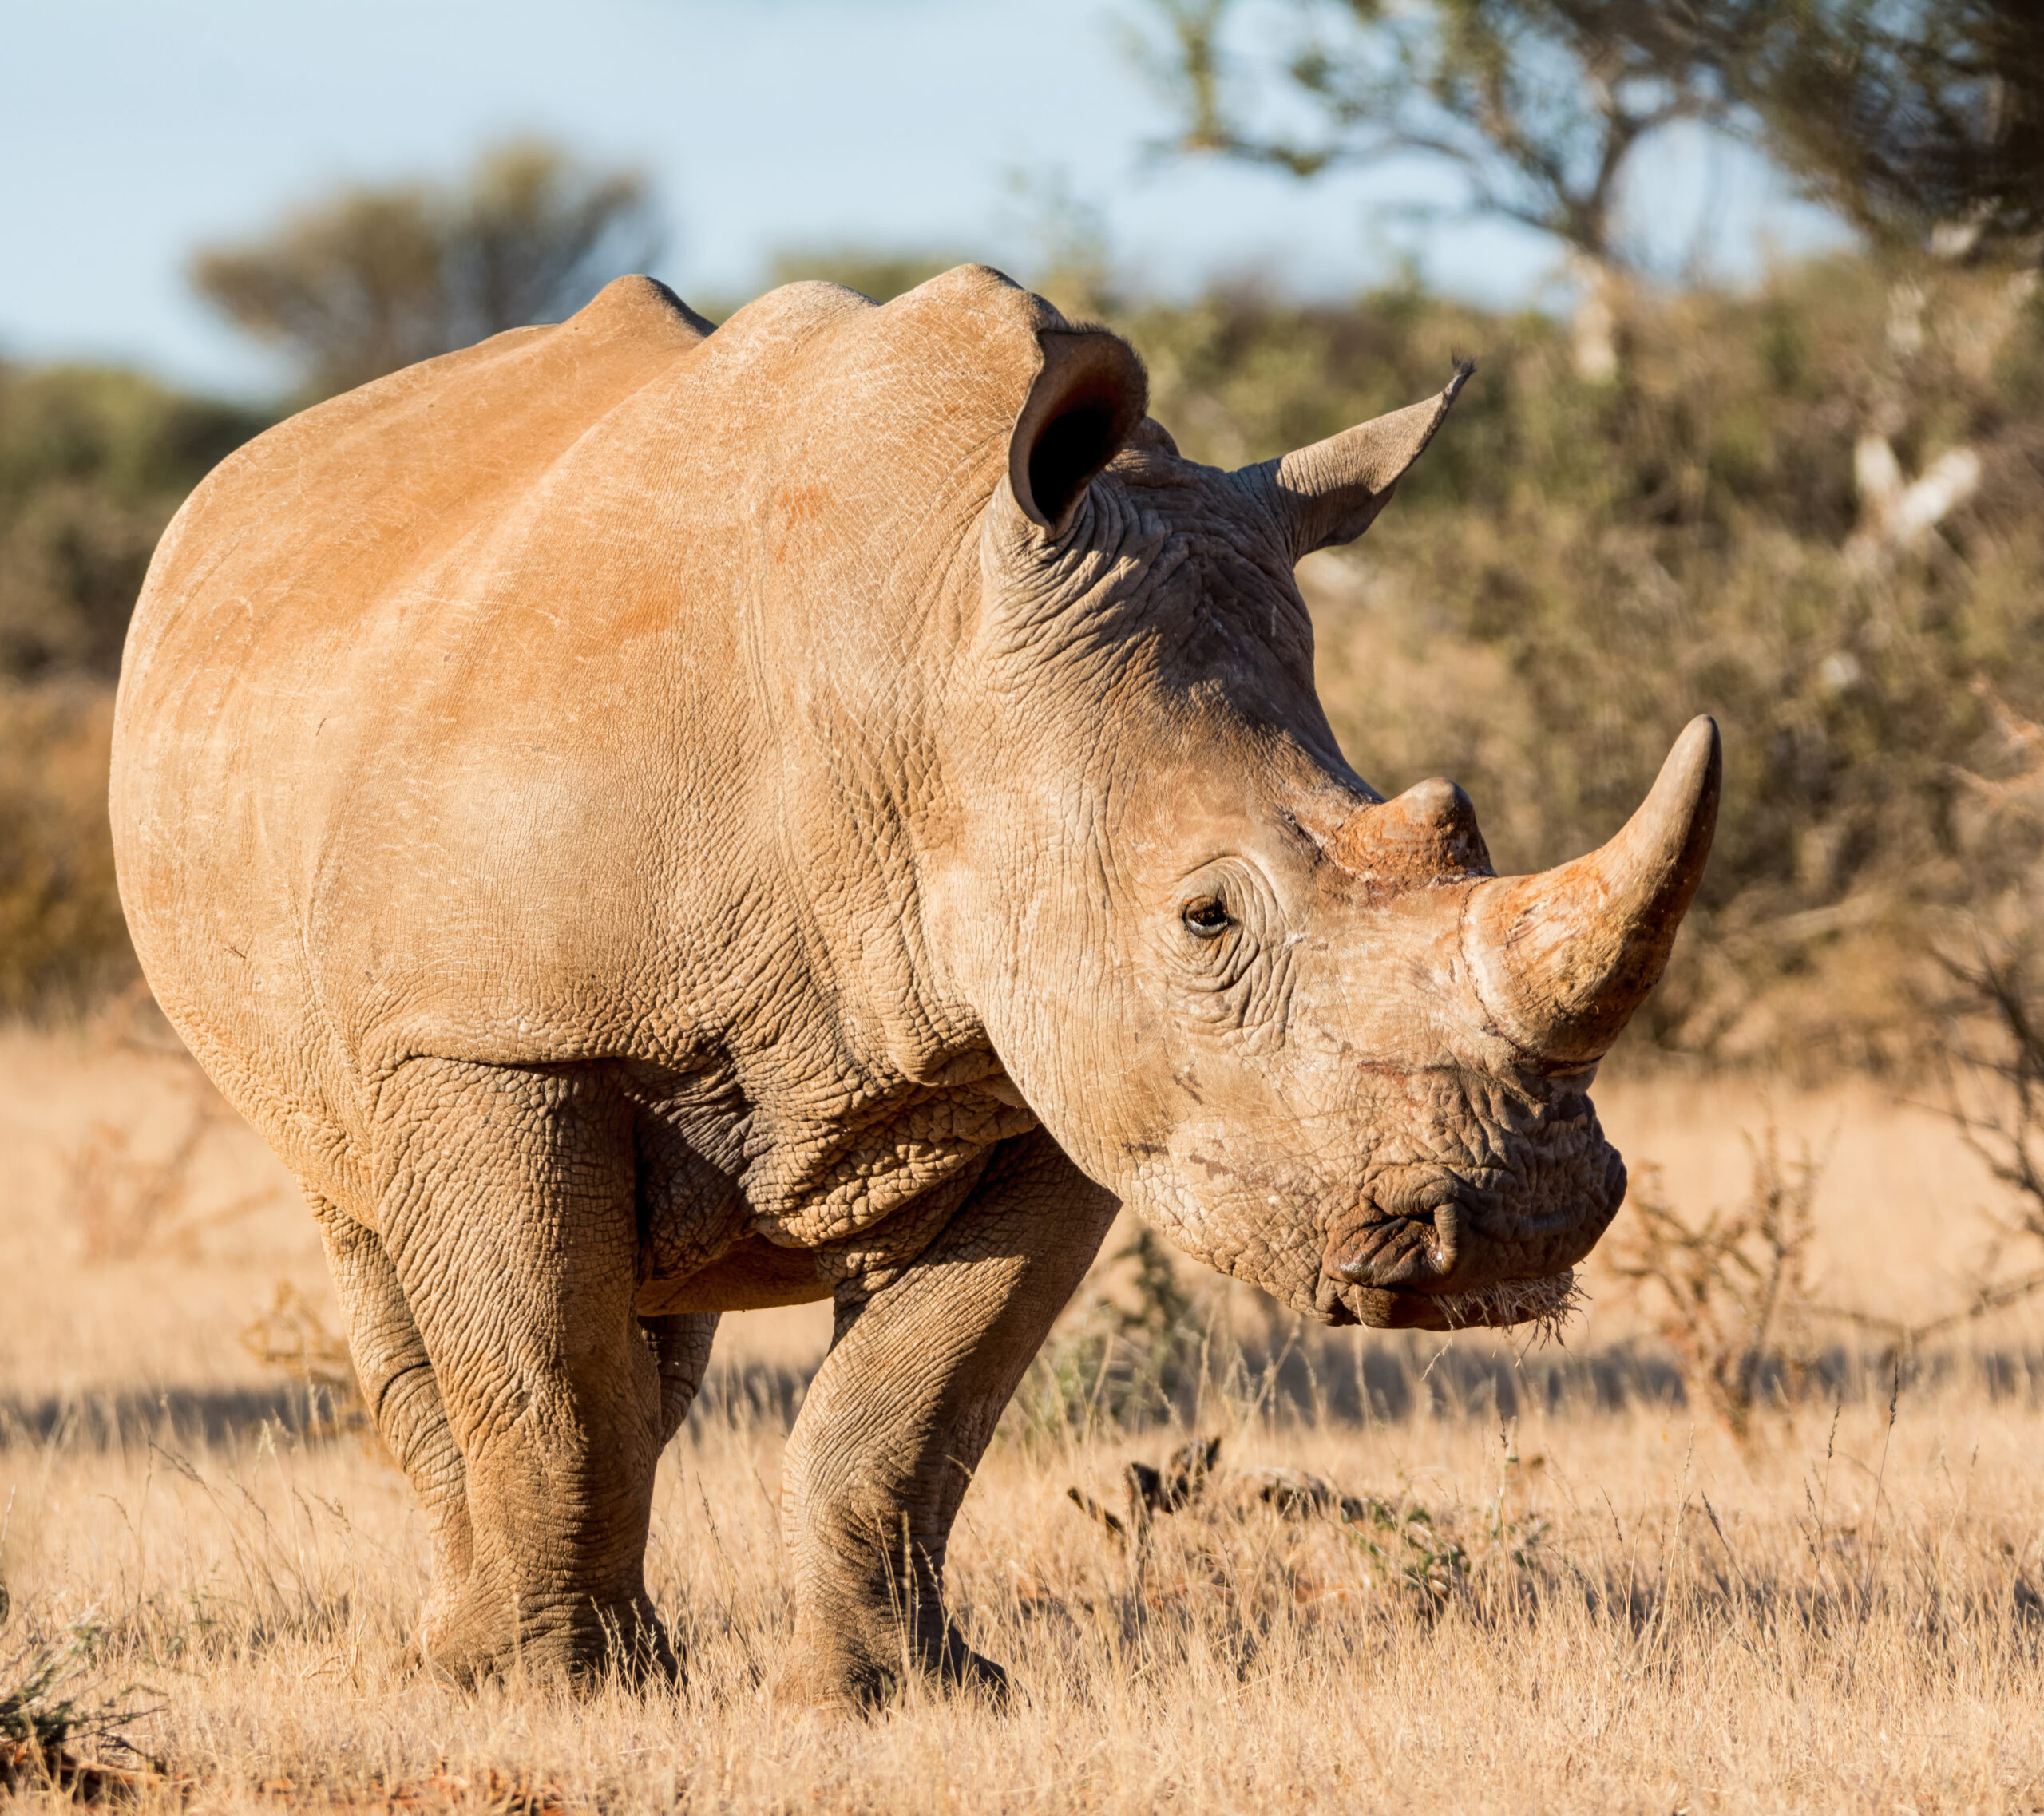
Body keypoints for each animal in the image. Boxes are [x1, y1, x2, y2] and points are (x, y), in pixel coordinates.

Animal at [108, 265, 1709, 1699]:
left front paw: (897, 1693)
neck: (931, 652)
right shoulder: (491, 1039)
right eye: (1205, 919)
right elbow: (546, 1387)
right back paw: (462, 1659)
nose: (1521, 1226)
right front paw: (560, 1696)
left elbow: (915, 1404)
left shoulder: (1062, 1072)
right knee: (384, 1241)